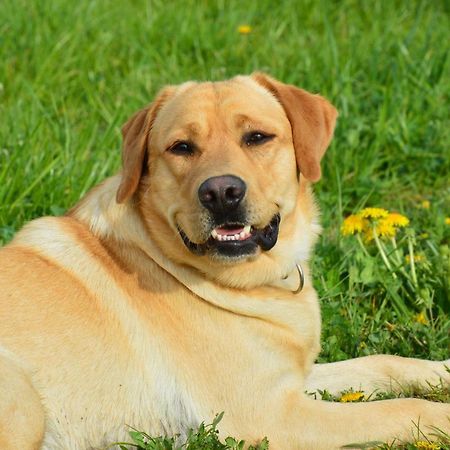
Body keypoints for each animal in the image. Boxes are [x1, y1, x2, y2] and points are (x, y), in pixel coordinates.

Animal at [0, 74, 448, 450]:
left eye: (257, 137)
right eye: (181, 147)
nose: (221, 192)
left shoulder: (291, 380)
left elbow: (381, 362)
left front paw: (442, 370)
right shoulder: (270, 414)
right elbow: (405, 407)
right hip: (23, 399)